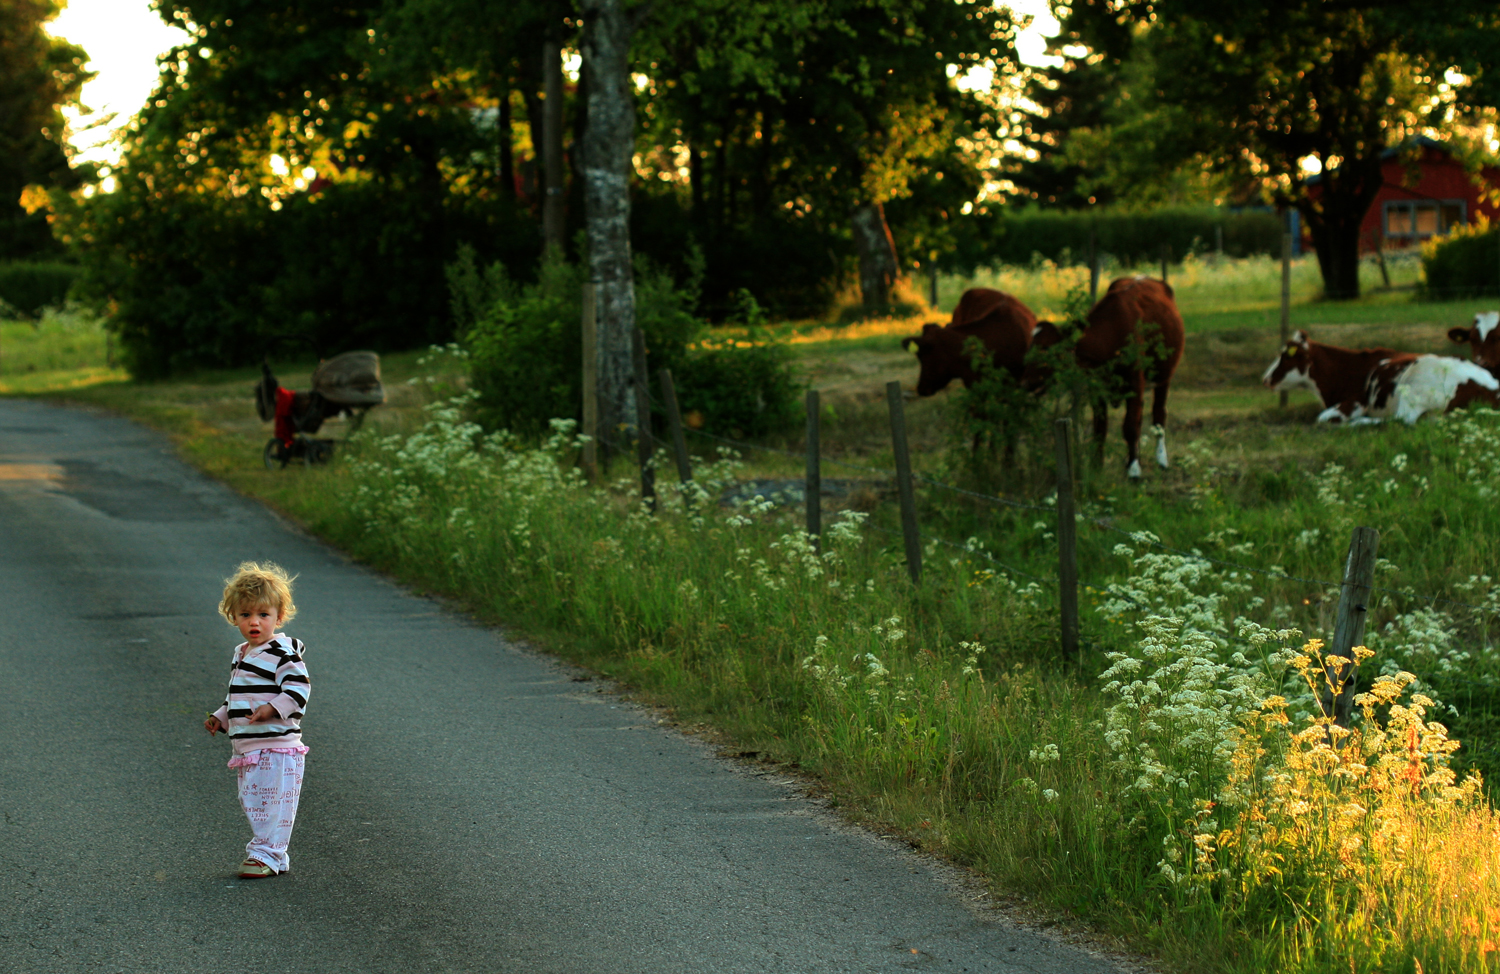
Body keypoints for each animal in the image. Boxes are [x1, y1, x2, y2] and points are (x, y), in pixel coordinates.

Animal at [1026, 276, 1188, 477]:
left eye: (1046, 349)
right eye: (1030, 346)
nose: (1026, 382)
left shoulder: (1135, 382)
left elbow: (1130, 426)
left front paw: (1134, 471)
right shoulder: (1096, 386)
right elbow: (1100, 428)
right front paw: (1097, 467)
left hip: (1163, 376)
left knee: (1158, 416)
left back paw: (1161, 460)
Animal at [1260, 328, 1494, 423]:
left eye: (1286, 357)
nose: (1265, 379)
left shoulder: (1356, 401)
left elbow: (1322, 418)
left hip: (1414, 390)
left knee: (1400, 420)